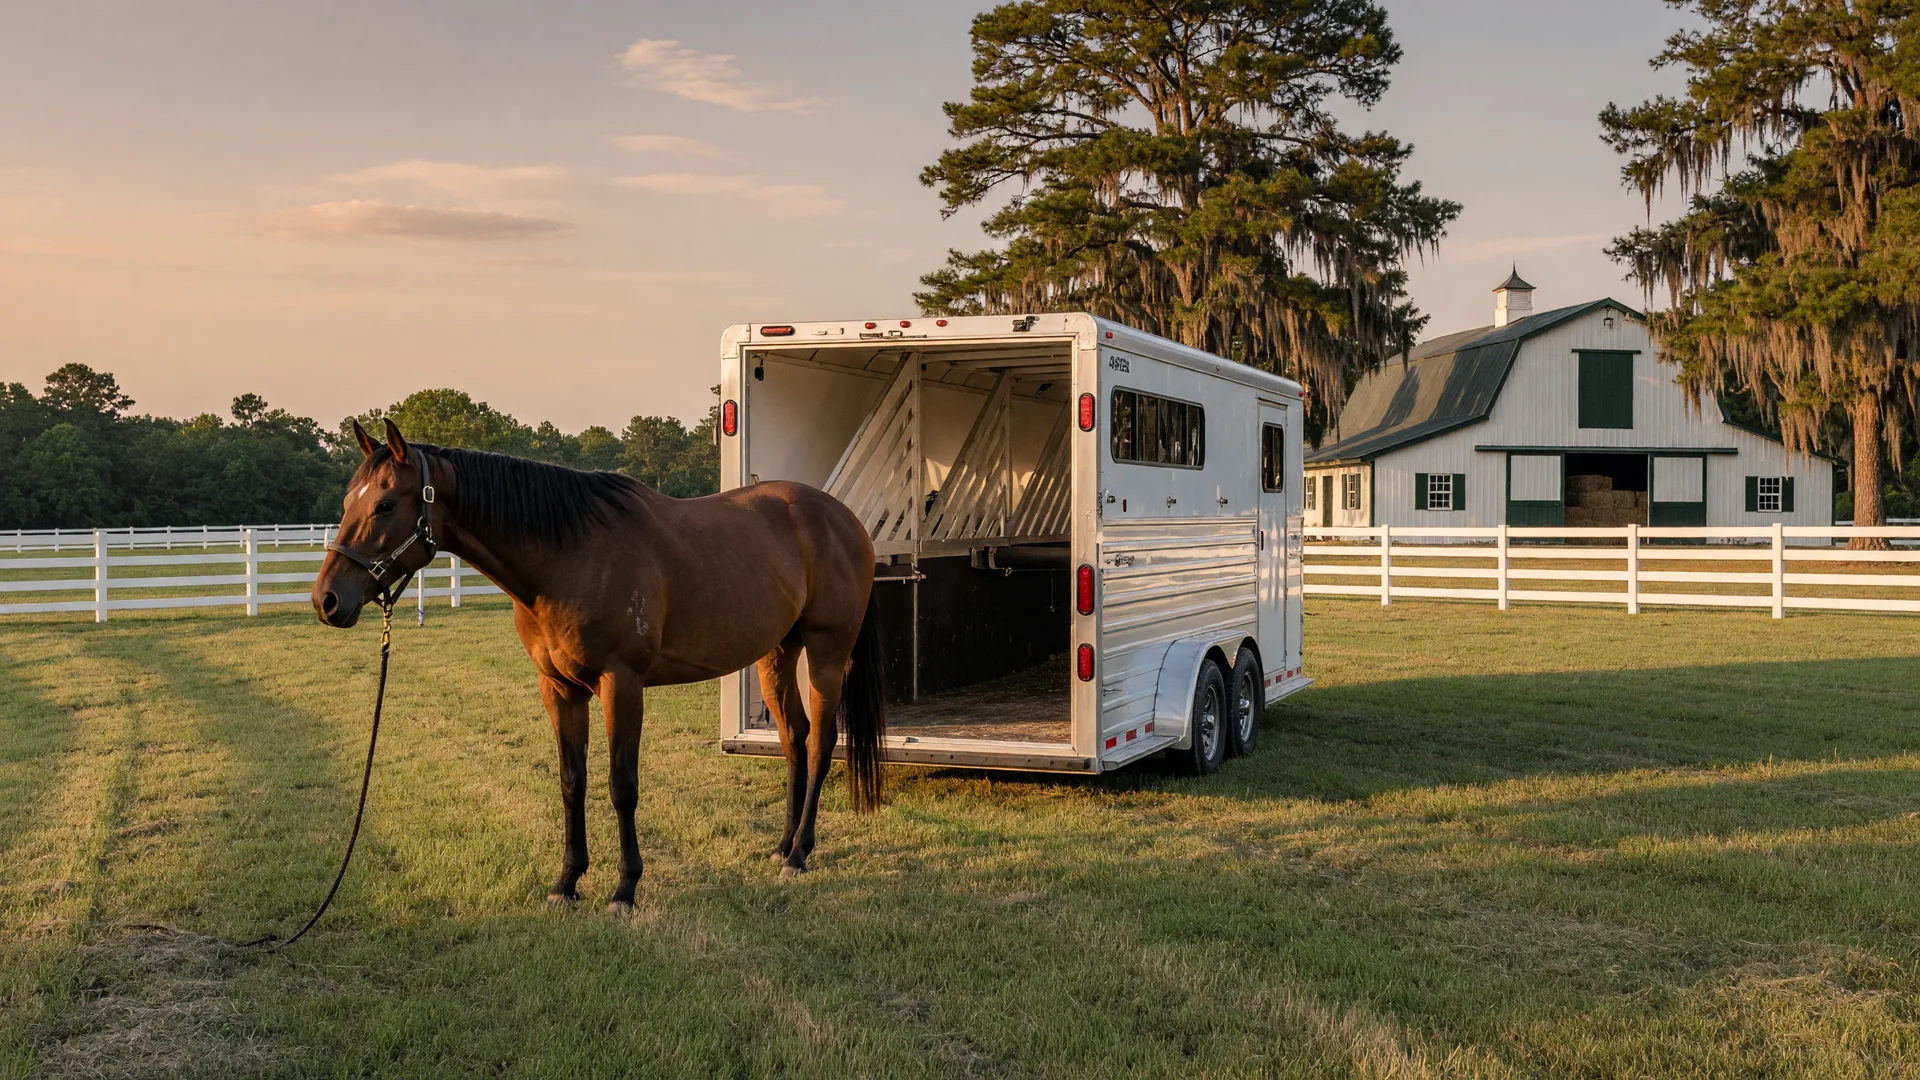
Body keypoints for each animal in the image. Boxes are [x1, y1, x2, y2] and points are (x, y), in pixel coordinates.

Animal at [311, 419, 886, 908]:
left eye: (386, 504)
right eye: (347, 501)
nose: (326, 600)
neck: (569, 555)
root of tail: (845, 518)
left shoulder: (621, 683)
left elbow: (621, 786)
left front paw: (625, 888)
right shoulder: (558, 687)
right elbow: (573, 781)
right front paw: (567, 881)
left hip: (828, 651)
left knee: (821, 742)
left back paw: (800, 853)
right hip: (777, 653)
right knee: (794, 737)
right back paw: (783, 845)